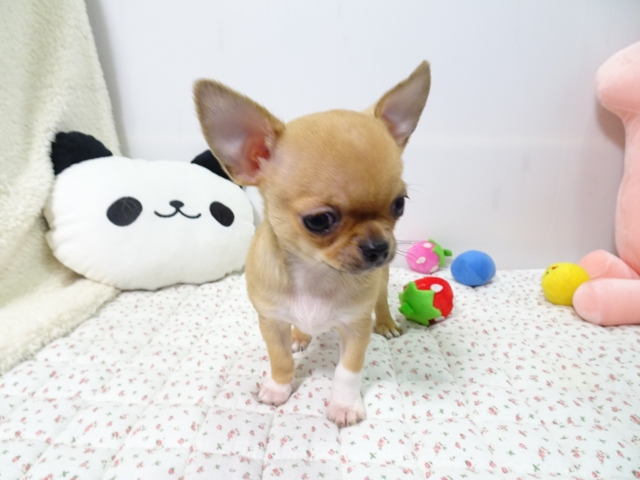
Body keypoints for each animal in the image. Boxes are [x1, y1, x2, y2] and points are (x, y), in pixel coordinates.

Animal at [194, 62, 431, 427]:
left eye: (399, 205)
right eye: (319, 220)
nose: (378, 247)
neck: (315, 273)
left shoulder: (355, 327)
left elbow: (348, 371)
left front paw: (344, 405)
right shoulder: (271, 321)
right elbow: (279, 359)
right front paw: (278, 388)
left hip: (382, 280)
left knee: (380, 299)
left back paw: (387, 323)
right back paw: (301, 336)